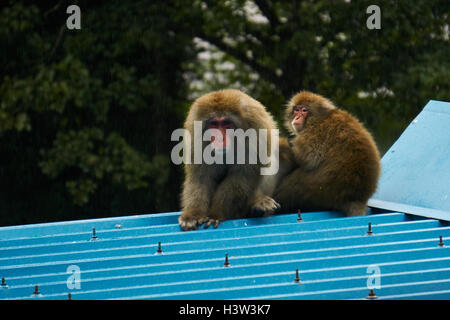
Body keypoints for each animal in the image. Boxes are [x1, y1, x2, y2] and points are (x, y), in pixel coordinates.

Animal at [178, 89, 280, 231]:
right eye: (214, 124)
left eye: (226, 124)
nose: (220, 139)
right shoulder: (196, 135)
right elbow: (201, 177)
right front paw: (193, 215)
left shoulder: (255, 130)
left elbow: (240, 177)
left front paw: (215, 215)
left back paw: (257, 204)